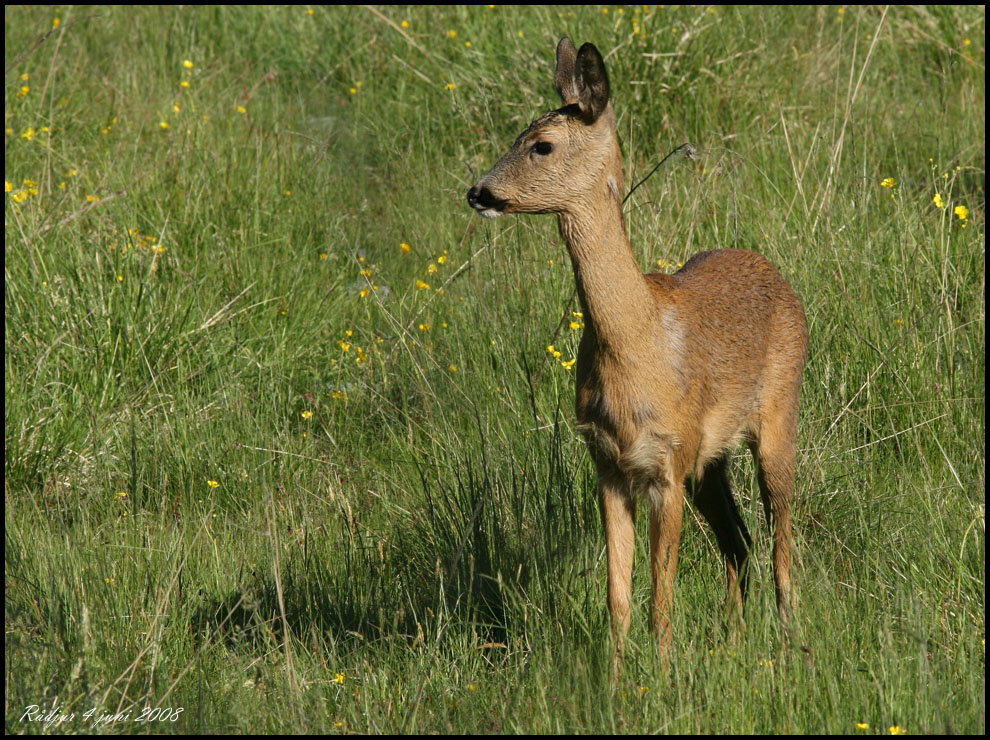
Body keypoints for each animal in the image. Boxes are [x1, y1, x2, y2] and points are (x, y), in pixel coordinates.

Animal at [466, 38, 808, 663]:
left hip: (777, 413)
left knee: (781, 537)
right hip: (710, 460)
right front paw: (619, 674)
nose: (478, 192)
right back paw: (733, 643)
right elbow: (618, 596)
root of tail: (774, 272)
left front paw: (665, 674)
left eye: (541, 144)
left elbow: (660, 597)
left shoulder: (666, 461)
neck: (634, 342)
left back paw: (790, 641)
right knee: (740, 540)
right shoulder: (609, 464)